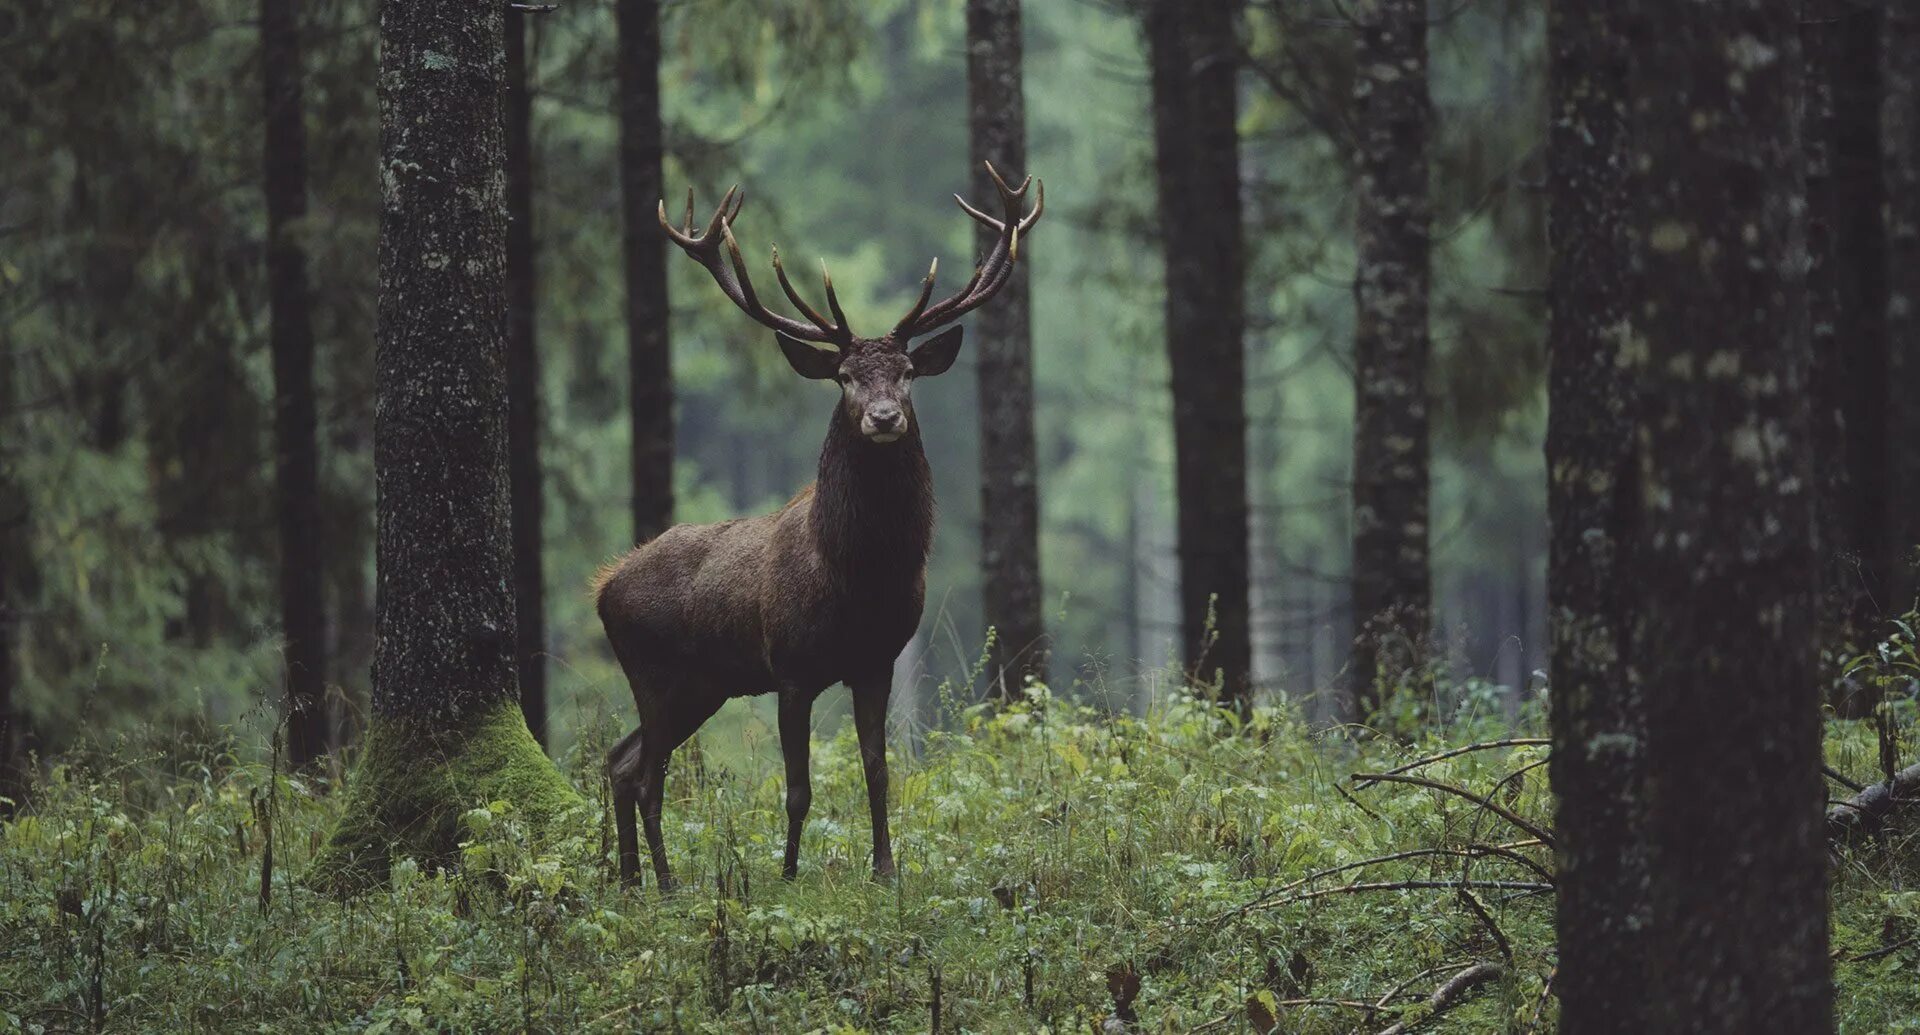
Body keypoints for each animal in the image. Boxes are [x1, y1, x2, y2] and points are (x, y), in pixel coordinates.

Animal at [599, 164, 1052, 890]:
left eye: (907, 372)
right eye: (843, 376)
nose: (884, 417)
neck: (857, 577)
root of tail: (603, 587)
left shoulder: (877, 660)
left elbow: (878, 771)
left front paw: (886, 869)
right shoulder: (790, 667)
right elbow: (797, 787)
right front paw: (787, 874)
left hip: (703, 684)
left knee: (621, 761)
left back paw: (634, 881)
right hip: (655, 673)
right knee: (644, 775)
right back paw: (665, 884)